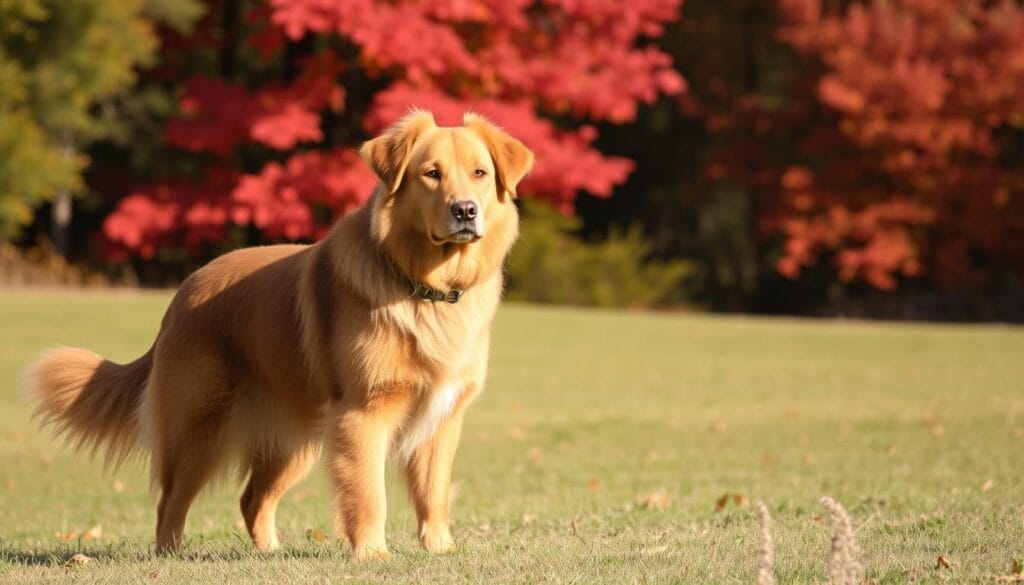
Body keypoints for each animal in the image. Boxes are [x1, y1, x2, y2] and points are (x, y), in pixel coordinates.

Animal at [24, 109, 536, 557]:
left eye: (480, 173)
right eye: (431, 173)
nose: (465, 211)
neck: (424, 286)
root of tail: (184, 292)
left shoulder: (441, 417)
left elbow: (434, 493)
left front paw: (440, 550)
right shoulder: (362, 413)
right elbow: (369, 494)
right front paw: (373, 555)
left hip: (295, 439)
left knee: (252, 499)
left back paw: (269, 553)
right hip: (198, 428)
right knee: (171, 501)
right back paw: (168, 555)